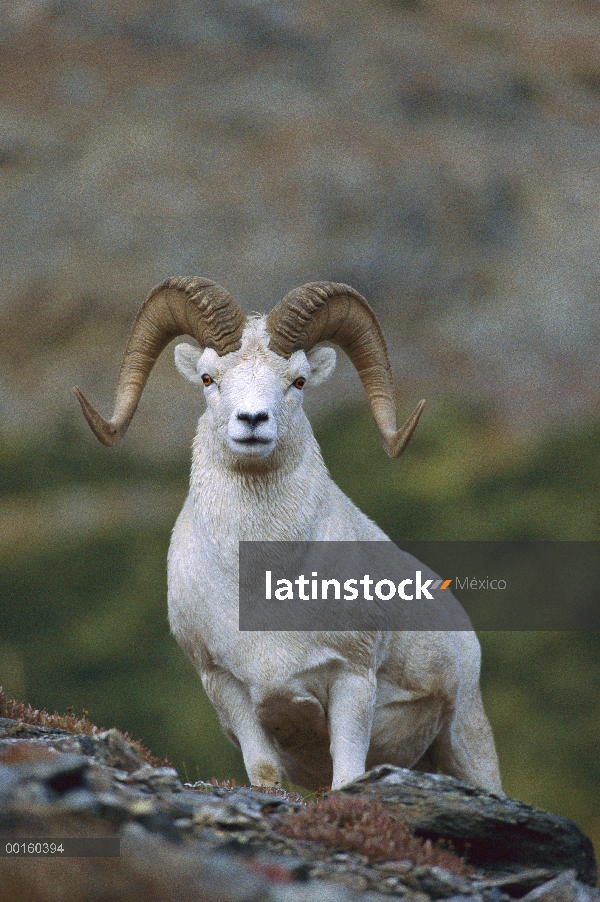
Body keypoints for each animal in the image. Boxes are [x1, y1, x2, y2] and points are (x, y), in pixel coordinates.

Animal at [76, 278, 506, 796]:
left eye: (298, 381)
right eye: (208, 378)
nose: (252, 420)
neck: (261, 583)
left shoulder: (351, 682)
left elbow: (347, 776)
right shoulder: (229, 689)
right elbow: (263, 773)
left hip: (466, 740)